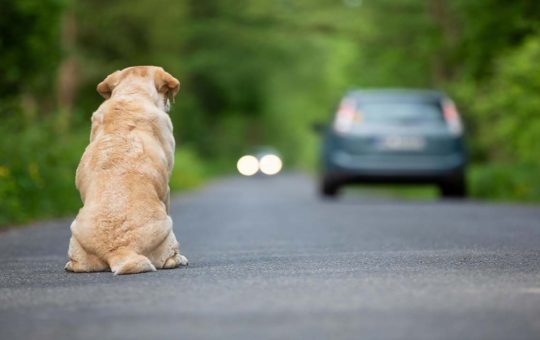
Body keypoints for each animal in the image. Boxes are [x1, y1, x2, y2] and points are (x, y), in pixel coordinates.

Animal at [65, 65, 189, 274]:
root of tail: (120, 249)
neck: (132, 94)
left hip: (76, 232)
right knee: (168, 258)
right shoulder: (166, 189)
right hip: (167, 227)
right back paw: (179, 259)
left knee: (77, 264)